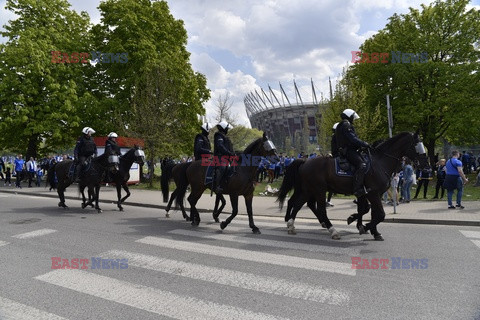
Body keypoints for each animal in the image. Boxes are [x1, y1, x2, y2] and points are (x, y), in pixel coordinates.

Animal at [278, 131, 428, 240]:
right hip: (319, 190)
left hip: (308, 190)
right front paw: (364, 227)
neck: (380, 162)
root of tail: (305, 161)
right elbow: (379, 214)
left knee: (297, 204)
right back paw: (332, 230)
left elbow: (369, 211)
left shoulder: (371, 194)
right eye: (417, 146)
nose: (426, 165)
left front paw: (371, 230)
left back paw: (291, 226)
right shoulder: (372, 193)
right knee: (319, 209)